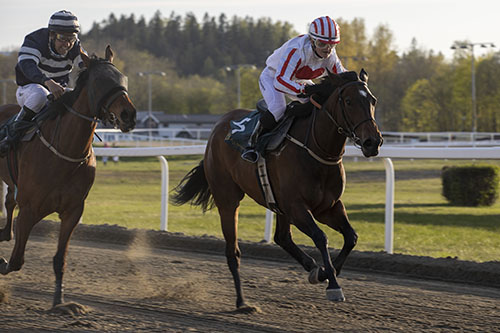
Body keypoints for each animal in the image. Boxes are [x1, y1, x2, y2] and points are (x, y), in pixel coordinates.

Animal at [0, 46, 136, 306]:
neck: (65, 150)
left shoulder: (73, 211)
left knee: (9, 200)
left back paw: (4, 232)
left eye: (123, 78)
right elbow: (16, 260)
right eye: (101, 81)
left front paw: (59, 302)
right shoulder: (29, 209)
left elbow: (59, 259)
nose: (129, 115)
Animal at [172, 68, 382, 310]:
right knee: (233, 251)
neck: (316, 149)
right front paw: (333, 284)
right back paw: (242, 302)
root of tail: (218, 126)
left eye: (373, 101)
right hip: (228, 199)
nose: (372, 142)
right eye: (348, 101)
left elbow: (351, 237)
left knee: (282, 238)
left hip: (279, 205)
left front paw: (326, 272)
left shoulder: (327, 207)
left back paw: (311, 267)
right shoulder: (297, 207)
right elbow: (321, 238)